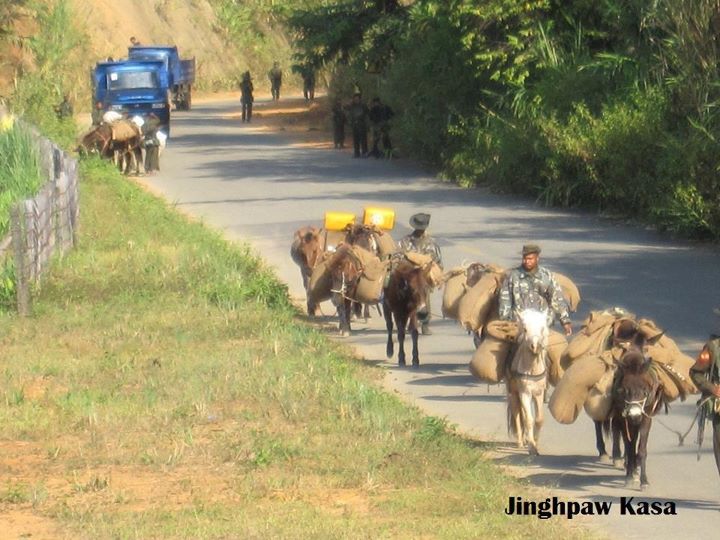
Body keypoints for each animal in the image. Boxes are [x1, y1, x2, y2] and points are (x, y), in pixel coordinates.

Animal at [510, 308, 548, 456]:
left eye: (542, 328)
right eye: (525, 329)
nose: (535, 346)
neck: (531, 369)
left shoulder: (538, 393)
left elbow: (539, 419)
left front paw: (535, 442)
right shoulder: (524, 393)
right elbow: (529, 419)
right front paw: (532, 447)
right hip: (514, 393)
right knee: (516, 413)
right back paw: (521, 441)